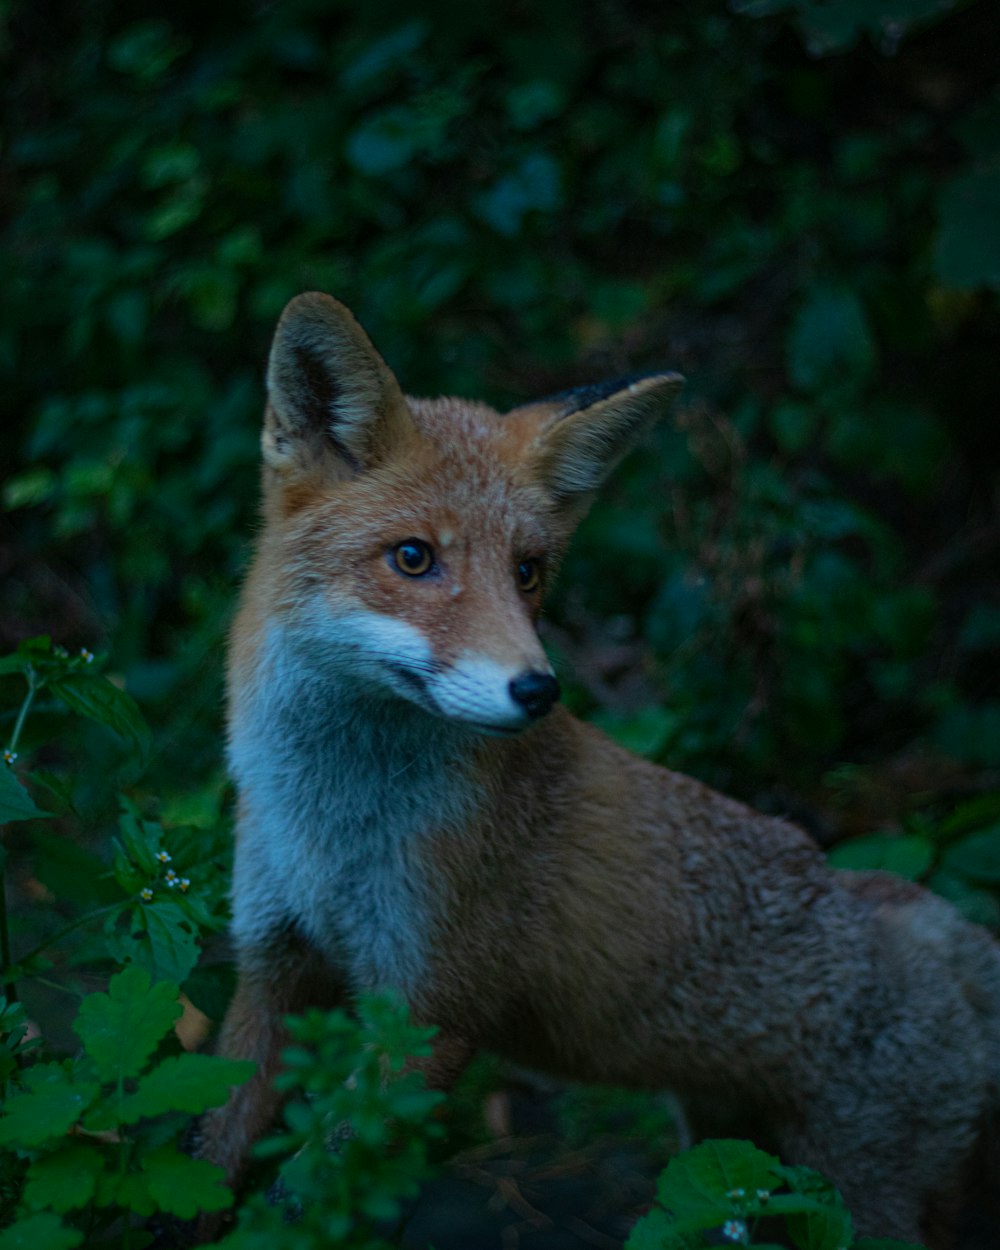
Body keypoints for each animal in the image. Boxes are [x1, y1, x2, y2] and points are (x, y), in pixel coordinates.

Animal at [202, 295, 1000, 1250]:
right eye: (413, 558)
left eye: (529, 572)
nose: (538, 688)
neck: (332, 824)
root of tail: (952, 932)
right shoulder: (272, 968)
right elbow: (210, 1149)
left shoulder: (428, 1009)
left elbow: (311, 1191)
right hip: (735, 1156)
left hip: (860, 1201)